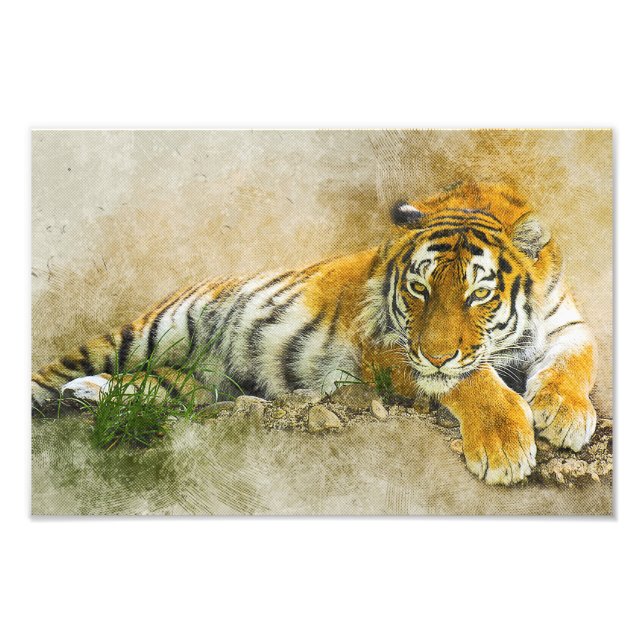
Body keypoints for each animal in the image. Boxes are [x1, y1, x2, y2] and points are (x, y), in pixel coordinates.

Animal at [32, 181, 597, 485]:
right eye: (419, 288)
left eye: (479, 294)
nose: (436, 354)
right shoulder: (389, 348)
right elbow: (471, 380)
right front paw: (506, 446)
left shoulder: (569, 325)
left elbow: (575, 364)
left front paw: (565, 415)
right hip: (146, 333)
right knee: (53, 372)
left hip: (200, 383)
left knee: (153, 387)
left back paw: (88, 394)